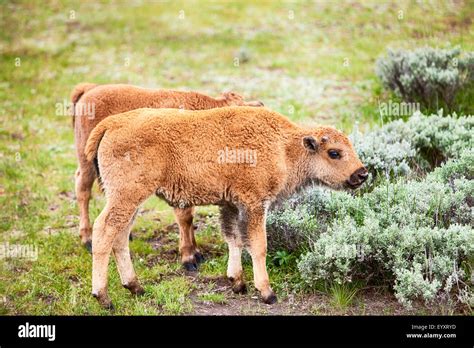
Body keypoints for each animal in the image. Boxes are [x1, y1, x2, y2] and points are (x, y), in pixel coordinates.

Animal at [71, 83, 262, 270]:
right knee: (83, 190)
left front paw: (195, 252)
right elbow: (185, 218)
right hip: (87, 162)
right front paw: (189, 257)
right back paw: (87, 239)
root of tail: (90, 89)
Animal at [85, 105, 366, 308]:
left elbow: (234, 239)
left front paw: (237, 283)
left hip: (130, 200)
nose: (362, 174)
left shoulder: (231, 204)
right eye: (334, 152)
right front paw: (267, 293)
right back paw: (103, 297)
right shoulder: (254, 204)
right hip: (126, 196)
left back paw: (136, 287)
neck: (284, 147)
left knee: (120, 237)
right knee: (104, 231)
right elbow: (258, 246)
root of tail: (112, 124)